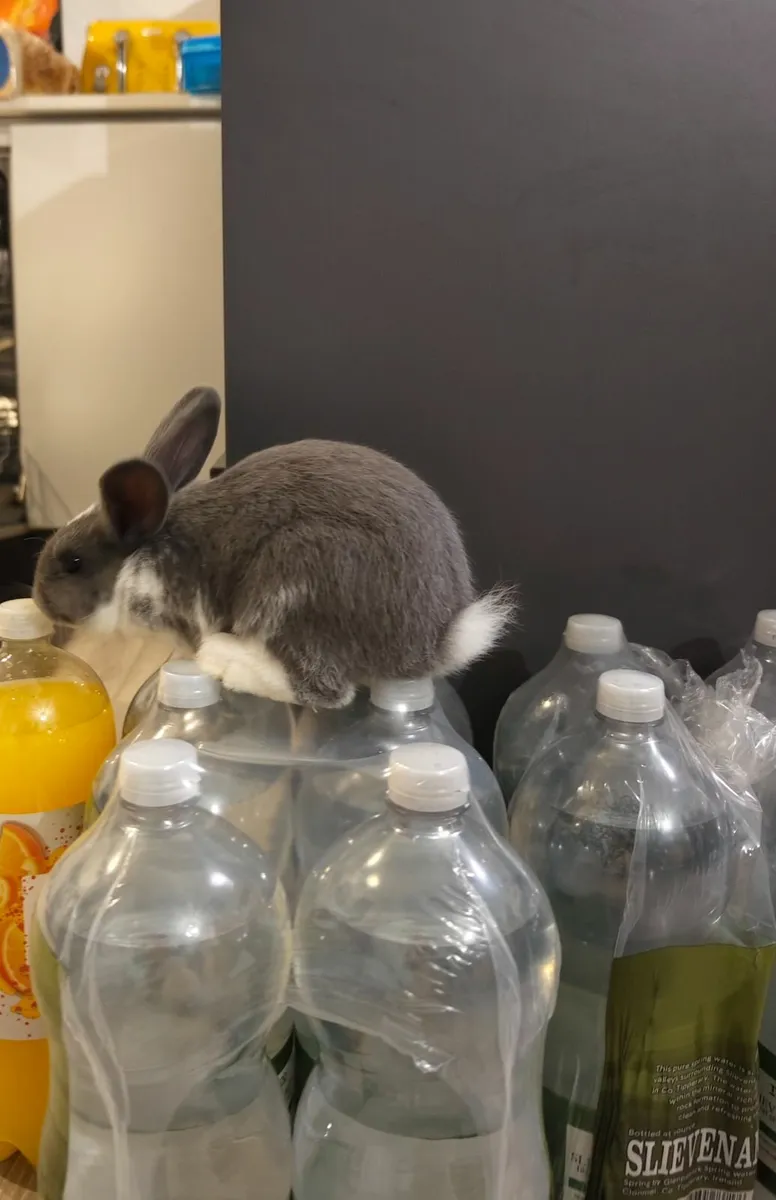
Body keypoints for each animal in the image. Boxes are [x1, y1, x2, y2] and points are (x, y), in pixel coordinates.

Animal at [33, 387, 513, 707]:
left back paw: (227, 661)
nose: (38, 600)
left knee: (322, 687)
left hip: (295, 575)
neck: (142, 559)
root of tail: (435, 639)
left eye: (73, 562)